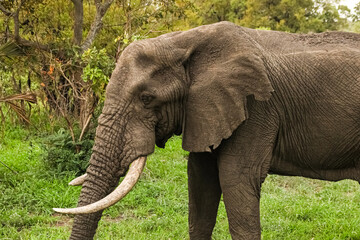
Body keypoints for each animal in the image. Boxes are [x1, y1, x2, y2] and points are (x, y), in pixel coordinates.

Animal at [54, 21, 360, 239]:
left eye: (146, 98)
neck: (181, 41)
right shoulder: (206, 112)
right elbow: (201, 180)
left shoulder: (255, 107)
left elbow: (236, 178)